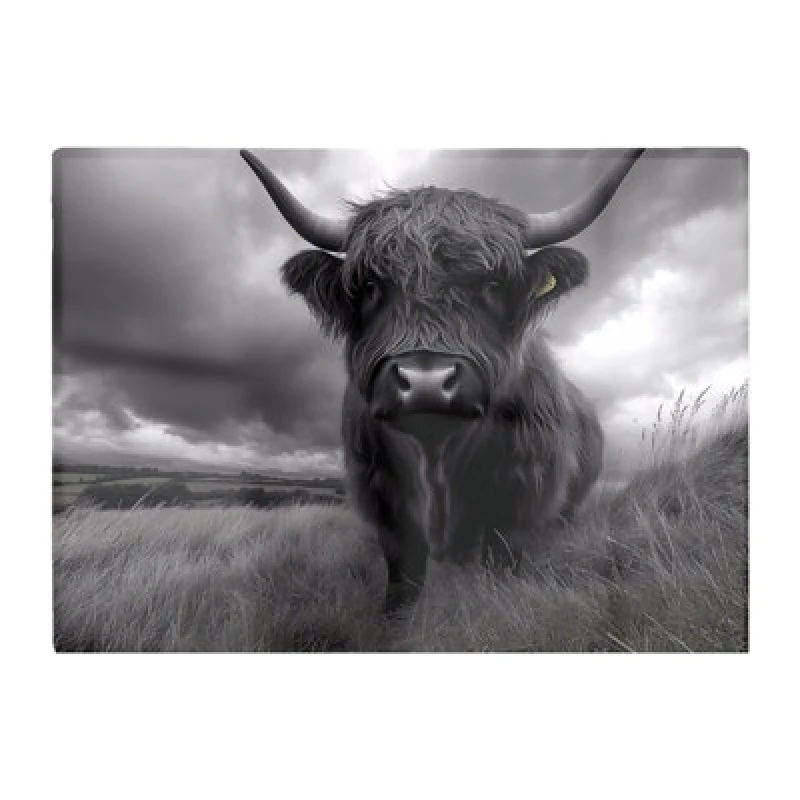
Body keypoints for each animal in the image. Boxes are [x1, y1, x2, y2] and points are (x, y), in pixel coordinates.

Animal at [240, 148, 645, 614]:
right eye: (371, 285)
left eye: (492, 284)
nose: (426, 382)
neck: (437, 458)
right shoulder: (384, 500)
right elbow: (403, 580)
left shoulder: (520, 497)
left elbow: (499, 564)